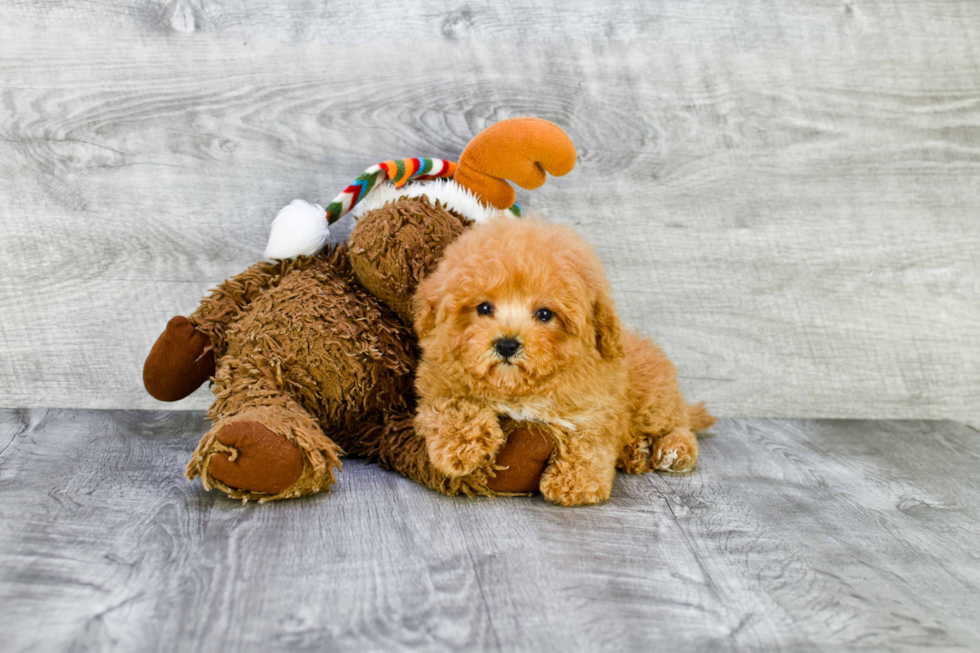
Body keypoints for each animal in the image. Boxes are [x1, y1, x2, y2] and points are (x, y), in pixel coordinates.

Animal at [410, 218, 716, 504]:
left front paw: (576, 483)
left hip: (653, 402)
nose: (507, 345)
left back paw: (673, 450)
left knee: (679, 425)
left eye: (545, 314)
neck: (518, 388)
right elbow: (452, 405)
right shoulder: (438, 381)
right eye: (484, 308)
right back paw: (637, 452)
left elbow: (587, 440)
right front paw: (460, 449)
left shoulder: (596, 406)